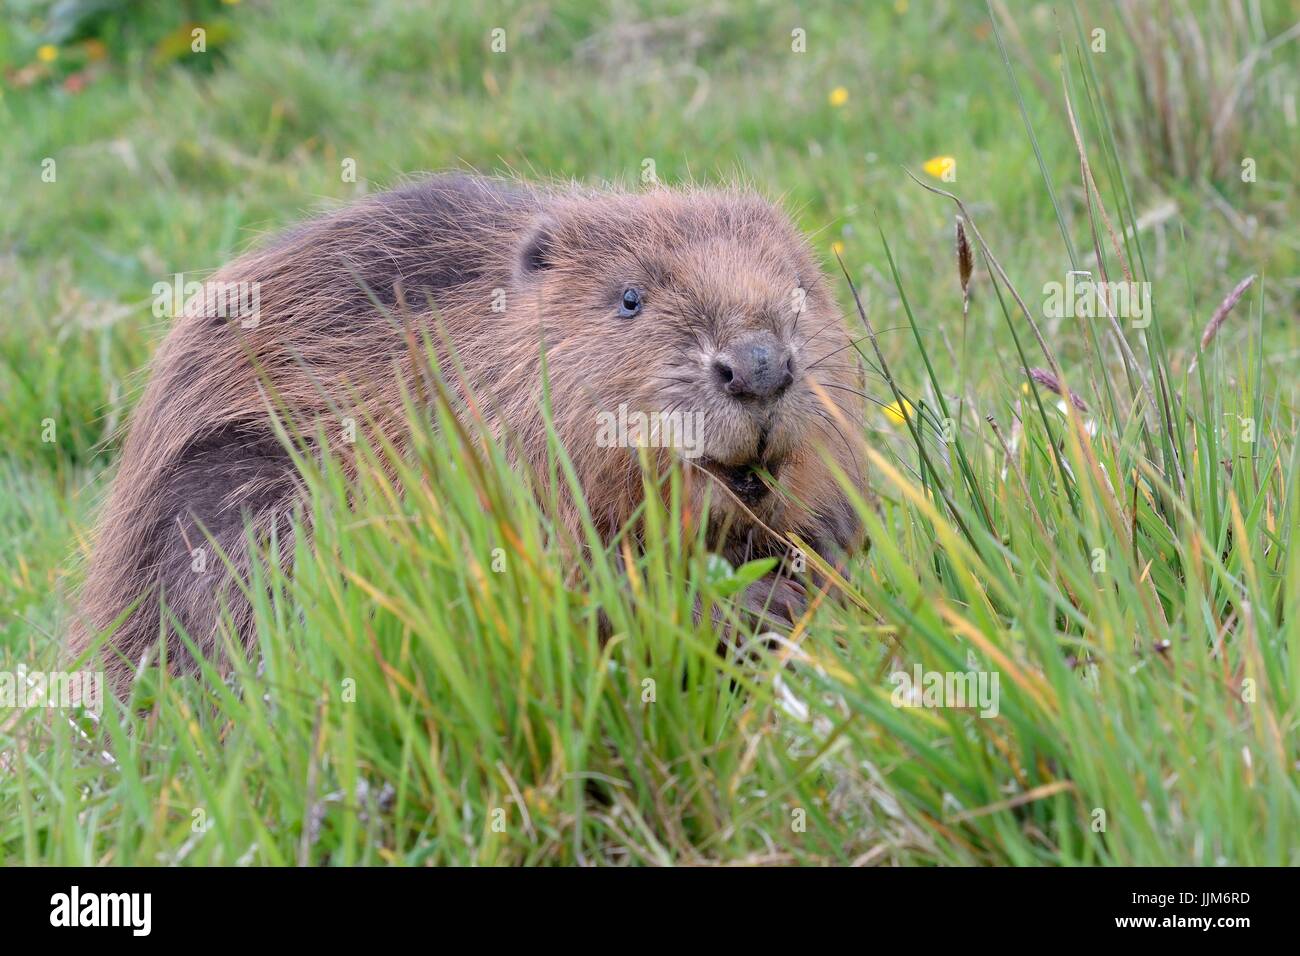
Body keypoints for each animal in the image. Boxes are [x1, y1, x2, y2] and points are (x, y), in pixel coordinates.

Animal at [68, 175, 863, 691]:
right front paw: (759, 604)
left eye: (799, 283)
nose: (758, 367)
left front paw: (824, 557)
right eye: (631, 298)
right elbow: (582, 580)